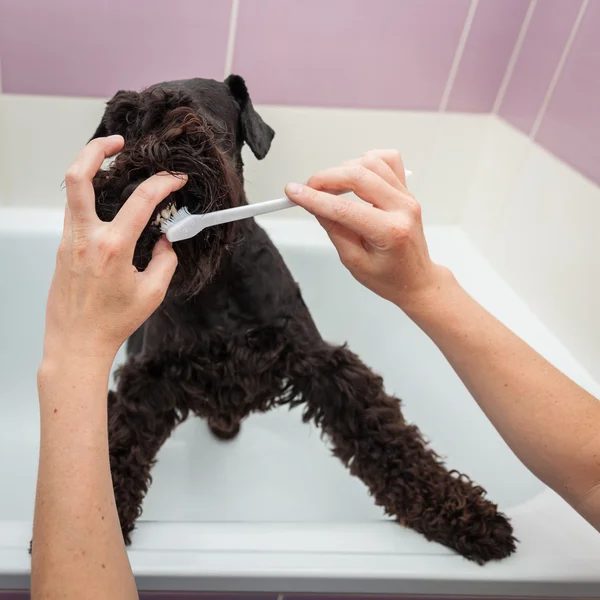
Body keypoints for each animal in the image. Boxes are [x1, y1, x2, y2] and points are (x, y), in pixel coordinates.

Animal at [84, 74, 516, 564]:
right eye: (122, 128)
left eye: (194, 119)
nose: (137, 177)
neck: (217, 286)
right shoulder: (150, 379)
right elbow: (118, 444)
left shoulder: (316, 360)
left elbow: (383, 430)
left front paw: (464, 514)